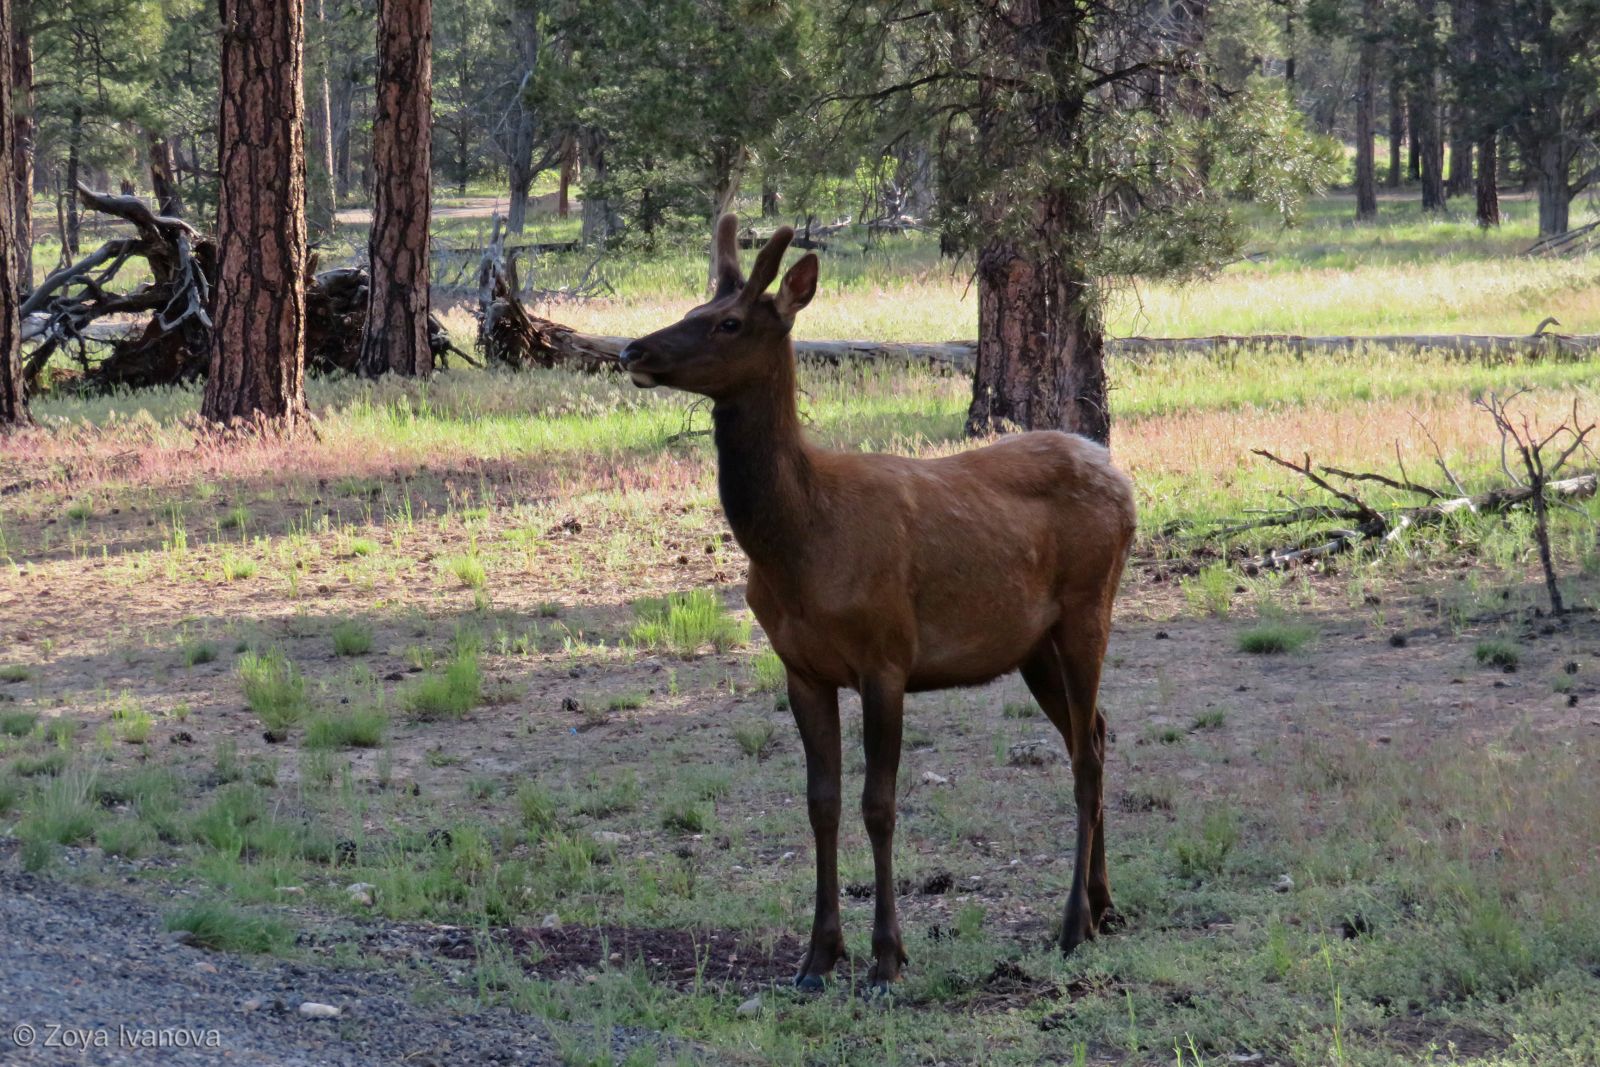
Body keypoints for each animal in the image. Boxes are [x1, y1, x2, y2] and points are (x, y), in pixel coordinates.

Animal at [619, 215, 1137, 992]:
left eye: (729, 322)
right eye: (691, 307)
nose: (632, 349)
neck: (799, 545)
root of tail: (1124, 482)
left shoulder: (886, 655)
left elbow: (879, 805)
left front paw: (888, 956)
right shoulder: (801, 668)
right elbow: (822, 804)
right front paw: (818, 956)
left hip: (1087, 606)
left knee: (1085, 759)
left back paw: (1074, 922)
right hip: (1033, 645)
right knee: (1095, 733)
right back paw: (1104, 905)